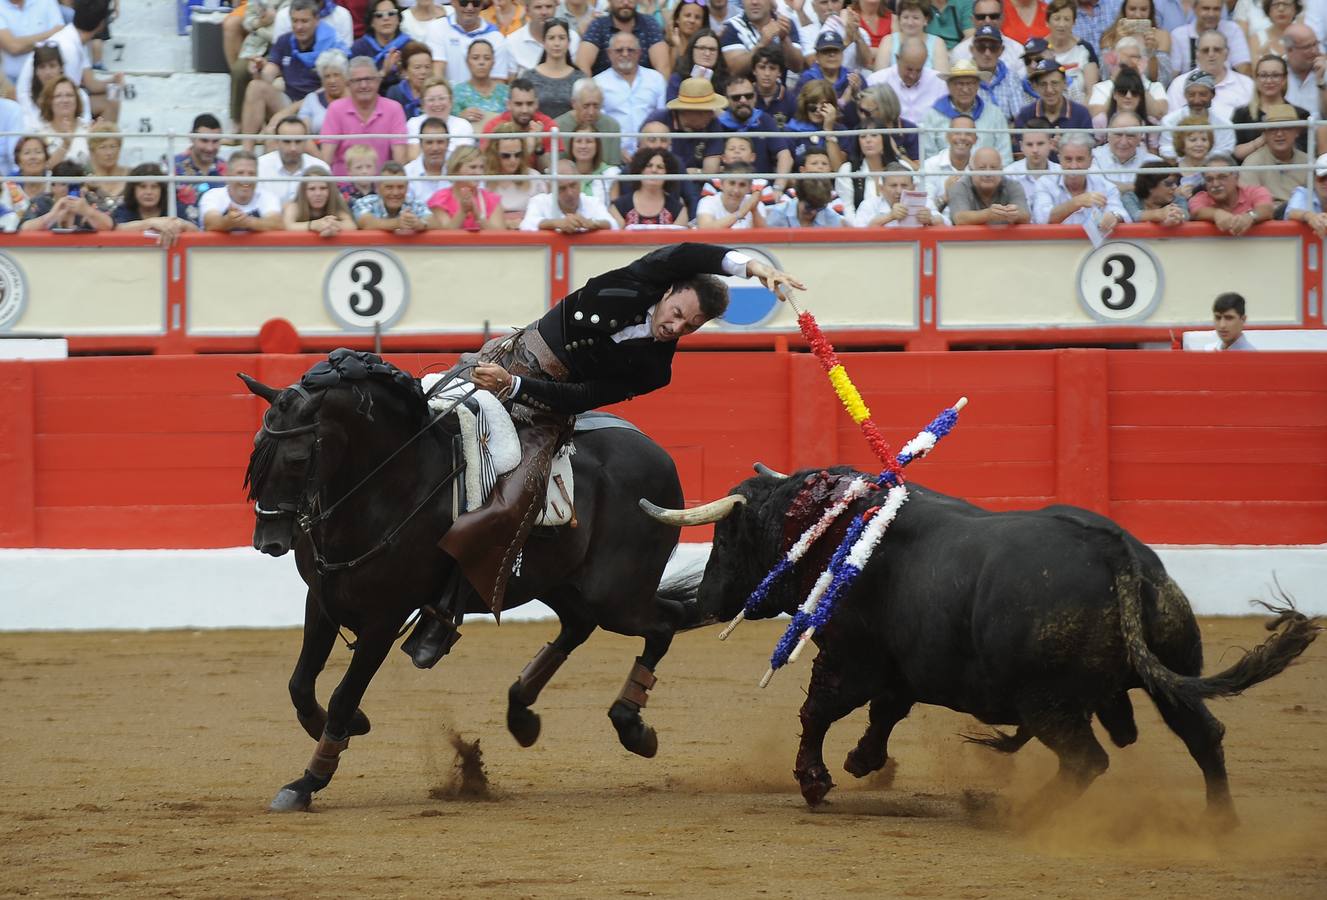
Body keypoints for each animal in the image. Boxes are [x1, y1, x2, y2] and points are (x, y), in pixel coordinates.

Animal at [642, 469, 1316, 828]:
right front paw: (863, 762)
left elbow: (817, 711)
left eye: (727, 535)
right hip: (1168, 675)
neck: (835, 524)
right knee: (1204, 734)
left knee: (1087, 761)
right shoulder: (900, 670)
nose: (704, 598)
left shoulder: (850, 658)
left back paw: (1018, 814)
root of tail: (1116, 551)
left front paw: (815, 781)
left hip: (1049, 703)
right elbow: (885, 713)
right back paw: (1221, 824)